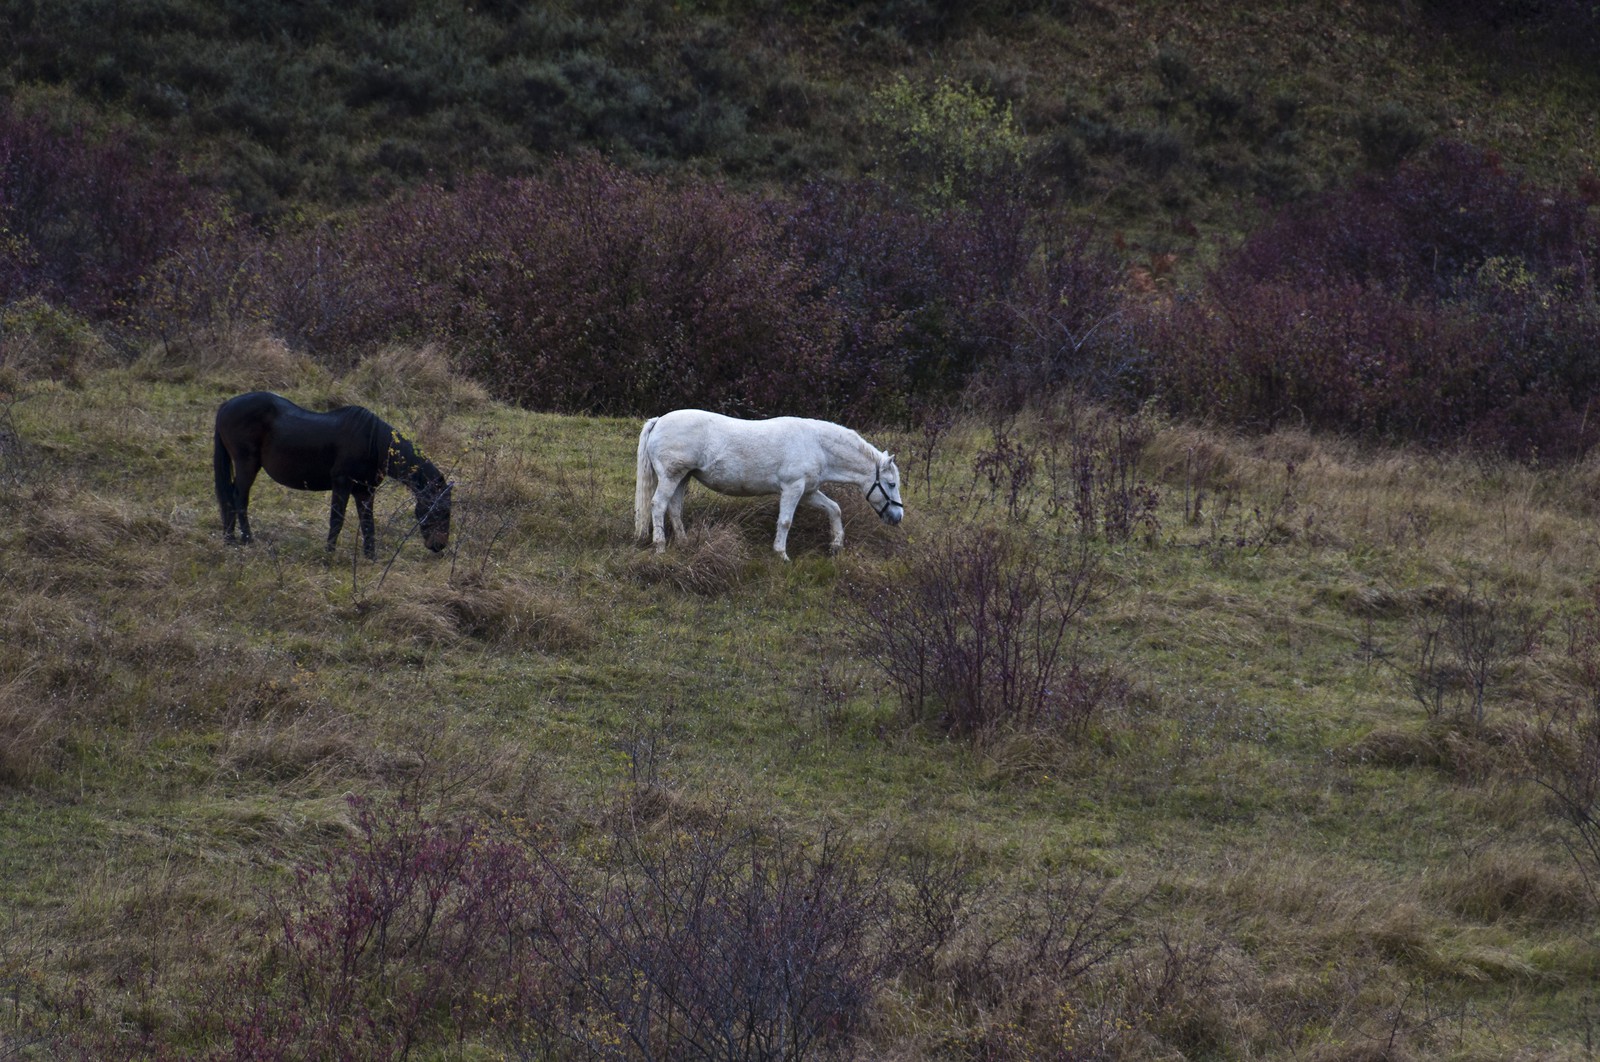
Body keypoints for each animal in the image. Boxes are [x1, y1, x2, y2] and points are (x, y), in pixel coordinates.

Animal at [213, 391, 453, 559]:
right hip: (246, 464)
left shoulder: (365, 491)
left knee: (230, 497)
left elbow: (368, 524)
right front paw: (329, 554)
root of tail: (225, 406)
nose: (439, 545)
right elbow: (337, 519)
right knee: (239, 498)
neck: (373, 443)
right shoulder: (342, 484)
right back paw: (246, 539)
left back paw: (230, 539)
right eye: (438, 510)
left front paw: (371, 557)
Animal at [634, 409, 904, 561]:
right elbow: (785, 521)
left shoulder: (808, 492)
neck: (816, 444)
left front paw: (836, 545)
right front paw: (781, 554)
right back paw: (660, 547)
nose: (897, 517)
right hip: (671, 476)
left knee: (674, 508)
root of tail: (658, 421)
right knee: (658, 505)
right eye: (890, 484)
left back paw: (683, 542)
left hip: (682, 477)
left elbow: (834, 509)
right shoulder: (793, 488)